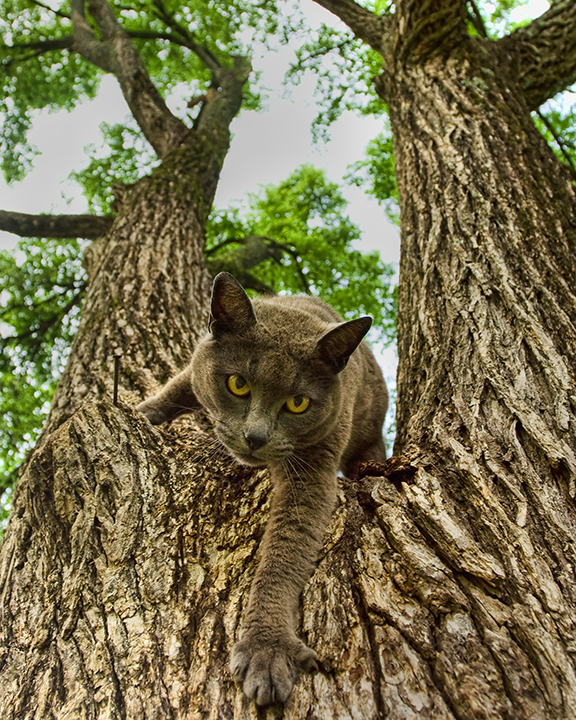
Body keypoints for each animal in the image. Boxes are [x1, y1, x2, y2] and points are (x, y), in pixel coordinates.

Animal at [136, 272, 390, 704]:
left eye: (298, 403)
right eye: (238, 383)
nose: (255, 437)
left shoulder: (313, 470)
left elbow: (282, 555)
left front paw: (266, 649)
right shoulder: (196, 366)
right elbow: (177, 386)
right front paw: (143, 410)